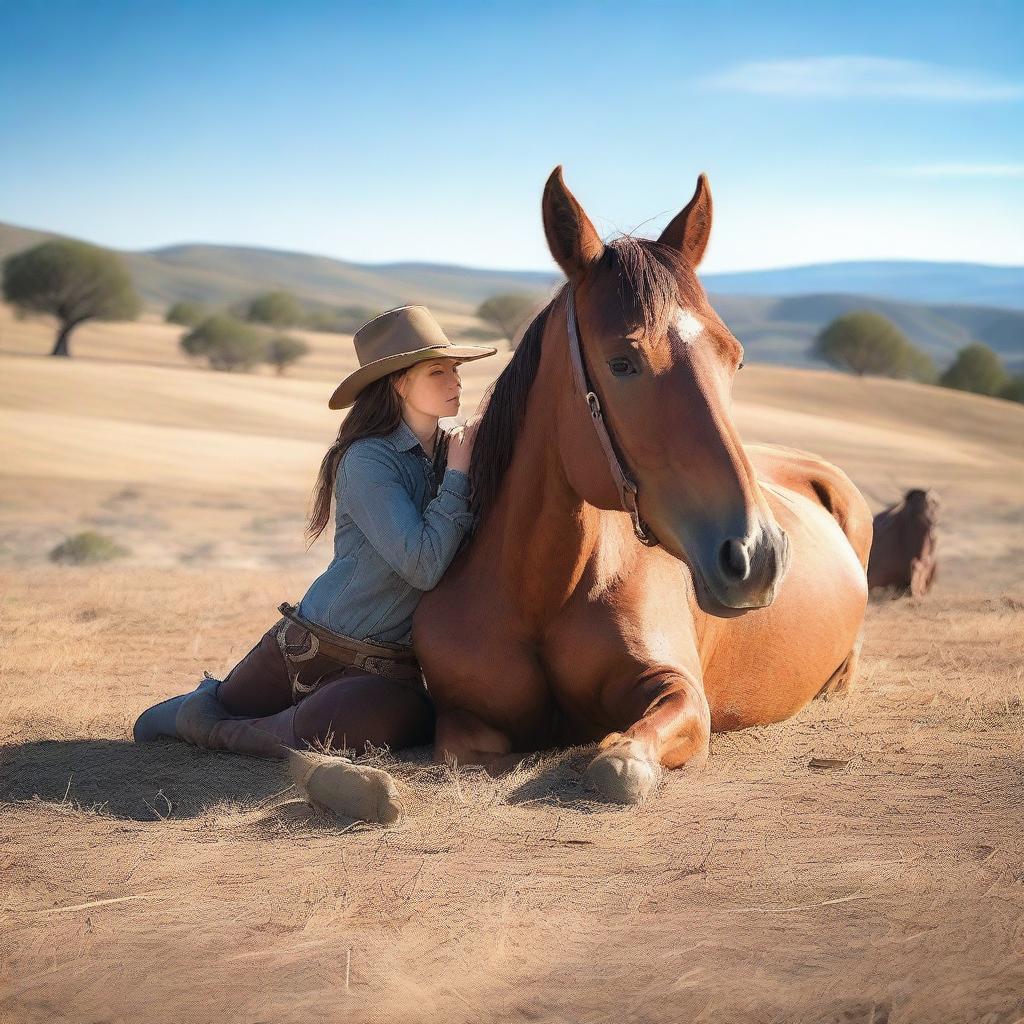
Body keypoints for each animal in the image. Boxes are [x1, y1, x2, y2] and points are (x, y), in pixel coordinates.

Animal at [411, 167, 868, 802]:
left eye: (735, 359)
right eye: (622, 363)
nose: (757, 555)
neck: (541, 592)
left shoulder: (682, 699)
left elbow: (617, 765)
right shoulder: (460, 719)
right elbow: (469, 756)